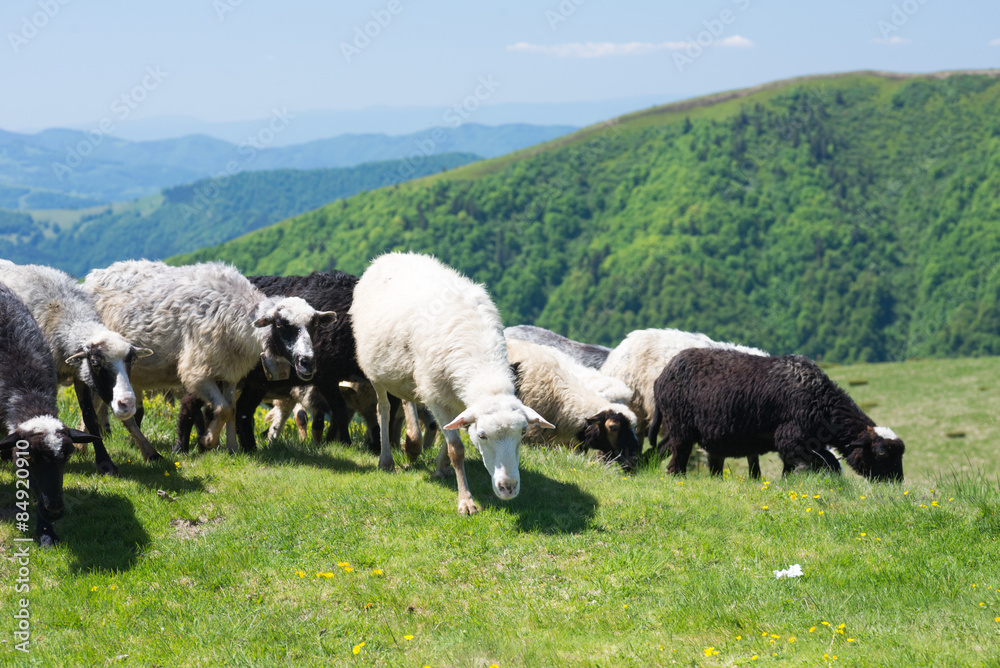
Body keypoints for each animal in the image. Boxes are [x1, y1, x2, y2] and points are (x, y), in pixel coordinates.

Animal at [0, 260, 152, 474]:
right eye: (95, 362)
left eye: (132, 360)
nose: (127, 404)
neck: (67, 315)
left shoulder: (80, 375)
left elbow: (90, 418)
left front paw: (105, 462)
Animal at [83, 260, 334, 456]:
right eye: (281, 325)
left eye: (314, 325)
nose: (307, 362)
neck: (237, 318)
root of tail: (94, 274)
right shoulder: (197, 373)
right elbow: (222, 409)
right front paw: (207, 441)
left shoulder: (230, 372)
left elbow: (232, 408)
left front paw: (232, 448)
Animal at [350, 252, 554, 515]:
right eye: (483, 435)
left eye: (523, 432)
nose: (508, 488)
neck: (483, 366)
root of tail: (390, 256)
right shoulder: (436, 396)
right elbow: (456, 448)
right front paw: (465, 500)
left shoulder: (456, 399)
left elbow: (450, 433)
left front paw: (442, 466)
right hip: (376, 372)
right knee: (383, 409)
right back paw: (387, 460)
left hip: (408, 371)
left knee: (407, 398)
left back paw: (412, 443)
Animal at [647, 348, 904, 481]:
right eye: (881, 453)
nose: (896, 482)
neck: (822, 404)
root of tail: (661, 377)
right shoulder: (792, 438)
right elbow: (821, 463)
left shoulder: (798, 444)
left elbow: (802, 465)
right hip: (681, 425)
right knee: (678, 456)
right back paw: (676, 478)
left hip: (678, 426)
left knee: (661, 449)